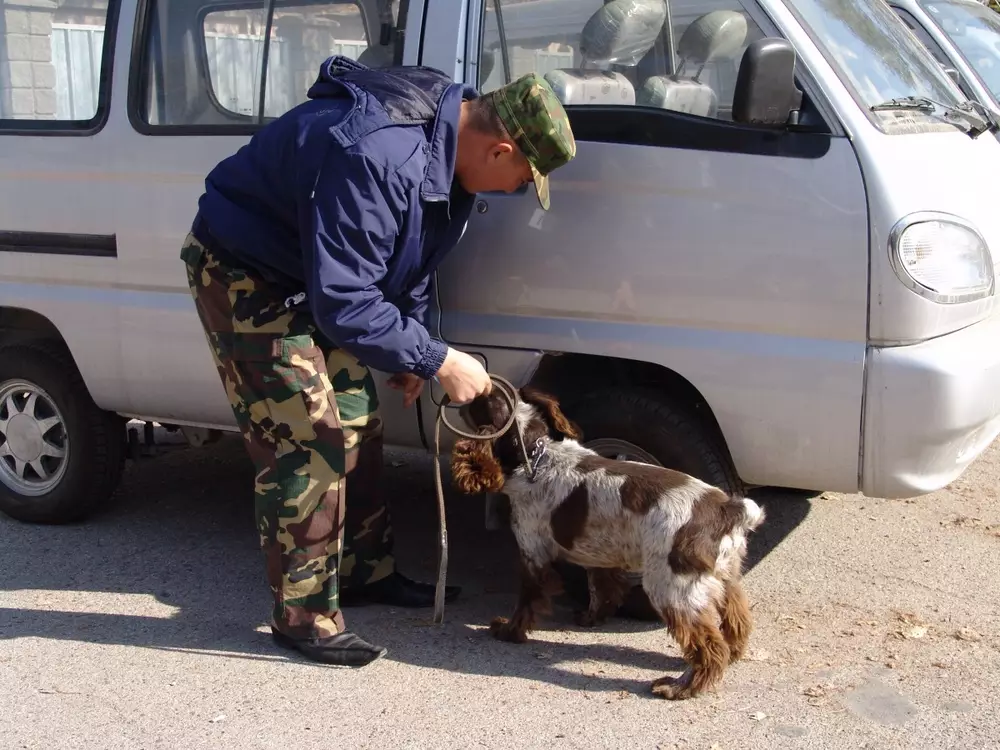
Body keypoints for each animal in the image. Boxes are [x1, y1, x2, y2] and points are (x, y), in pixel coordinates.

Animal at [450, 386, 765, 700]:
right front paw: (591, 618)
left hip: (671, 587)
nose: (463, 396)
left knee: (709, 646)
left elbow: (526, 602)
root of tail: (728, 509)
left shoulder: (532, 553)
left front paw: (508, 632)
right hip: (726, 576)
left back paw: (680, 687)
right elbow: (602, 589)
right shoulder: (598, 553)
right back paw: (731, 655)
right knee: (737, 622)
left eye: (482, 399)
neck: (539, 455)